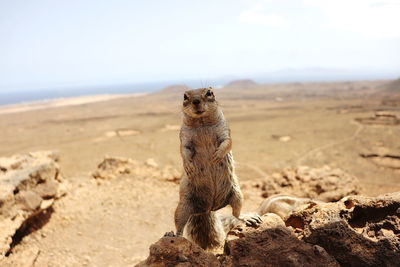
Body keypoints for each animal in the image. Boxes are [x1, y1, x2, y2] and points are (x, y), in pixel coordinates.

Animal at [173, 88, 262, 251]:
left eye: (209, 92)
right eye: (185, 96)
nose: (196, 101)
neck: (201, 123)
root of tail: (208, 208)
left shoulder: (225, 132)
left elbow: (227, 143)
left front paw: (217, 156)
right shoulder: (184, 138)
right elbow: (184, 151)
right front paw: (188, 166)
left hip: (237, 194)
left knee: (236, 214)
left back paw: (249, 217)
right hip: (182, 206)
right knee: (180, 225)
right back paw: (173, 236)